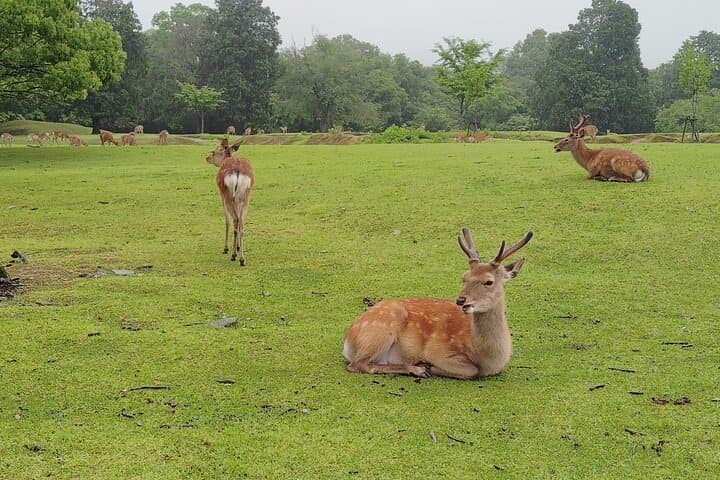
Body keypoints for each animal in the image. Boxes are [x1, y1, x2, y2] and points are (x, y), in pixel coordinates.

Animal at [343, 228, 533, 379]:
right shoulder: (437, 350)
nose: (461, 300)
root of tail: (347, 341)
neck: (491, 358)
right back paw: (417, 369)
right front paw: (427, 366)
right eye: (464, 277)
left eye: (489, 281)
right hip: (382, 328)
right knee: (358, 364)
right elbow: (471, 371)